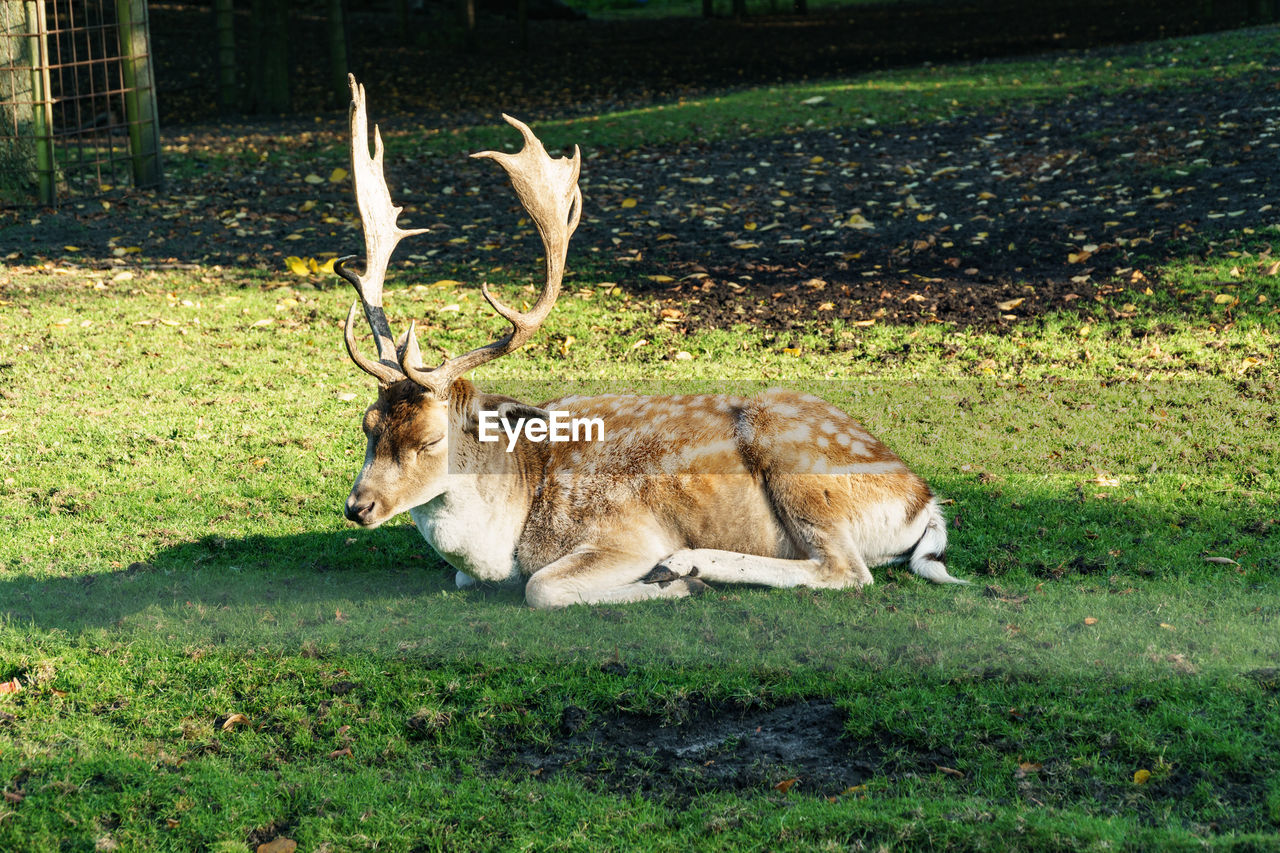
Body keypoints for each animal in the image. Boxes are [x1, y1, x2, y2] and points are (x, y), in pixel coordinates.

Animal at [335, 73, 962, 604]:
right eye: (367, 426)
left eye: (431, 441)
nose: (358, 507)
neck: (508, 537)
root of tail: (925, 502)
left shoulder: (625, 532)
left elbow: (542, 587)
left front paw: (672, 581)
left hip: (800, 463)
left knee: (845, 571)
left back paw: (692, 564)